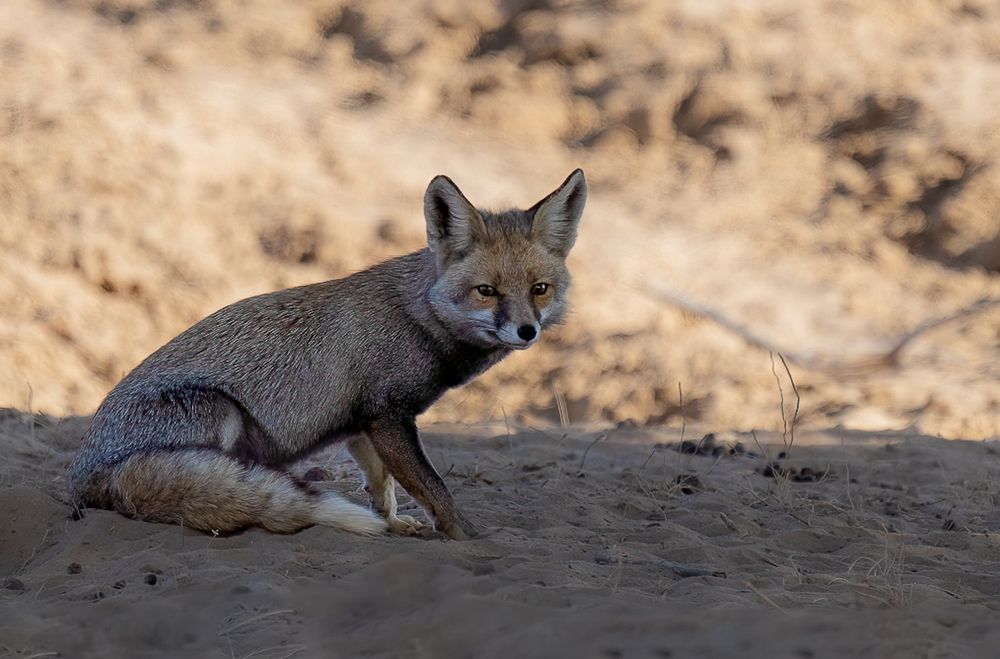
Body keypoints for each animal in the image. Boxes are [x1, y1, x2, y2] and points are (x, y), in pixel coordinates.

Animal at [67, 169, 587, 540]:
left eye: (539, 289)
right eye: (487, 291)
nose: (526, 331)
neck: (416, 318)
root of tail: (80, 480)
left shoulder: (363, 423)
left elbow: (383, 488)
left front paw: (394, 526)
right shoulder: (389, 416)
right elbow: (435, 491)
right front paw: (466, 537)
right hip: (219, 413)